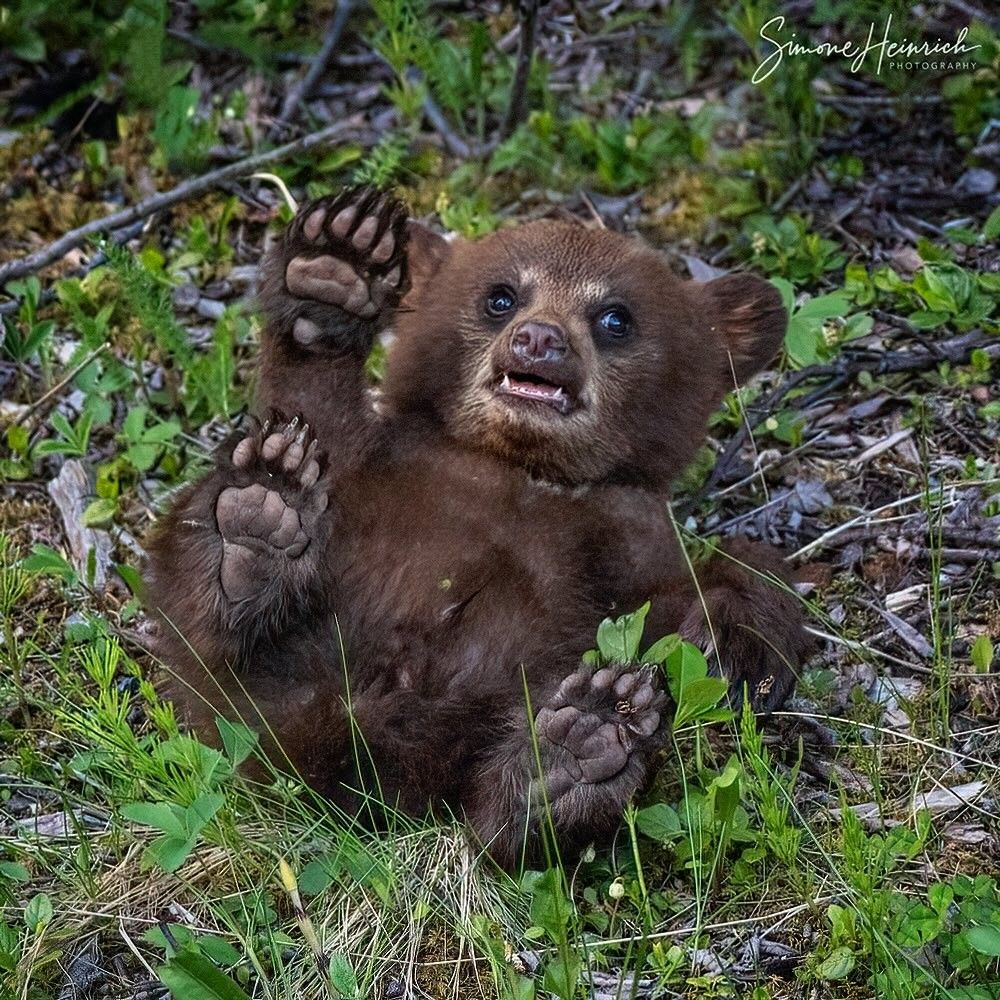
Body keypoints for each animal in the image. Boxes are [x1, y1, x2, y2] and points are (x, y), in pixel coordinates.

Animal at [145, 187, 811, 869]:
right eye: (501, 296)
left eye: (615, 317)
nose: (539, 339)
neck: (521, 468)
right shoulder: (379, 467)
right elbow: (310, 416)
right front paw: (336, 265)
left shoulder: (626, 538)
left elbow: (708, 585)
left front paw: (732, 636)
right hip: (257, 678)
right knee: (209, 619)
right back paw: (256, 527)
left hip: (503, 701)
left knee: (496, 811)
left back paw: (578, 754)